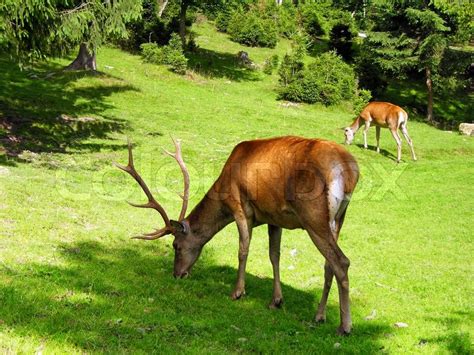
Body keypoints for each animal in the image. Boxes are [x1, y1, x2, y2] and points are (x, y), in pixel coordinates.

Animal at [115, 136, 360, 336]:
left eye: (176, 245)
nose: (177, 274)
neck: (222, 187)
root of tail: (348, 171)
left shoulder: (239, 206)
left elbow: (243, 250)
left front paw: (237, 292)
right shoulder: (274, 218)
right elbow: (274, 255)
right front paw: (276, 301)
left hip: (313, 215)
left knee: (342, 261)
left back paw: (345, 326)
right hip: (339, 217)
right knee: (329, 264)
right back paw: (320, 315)